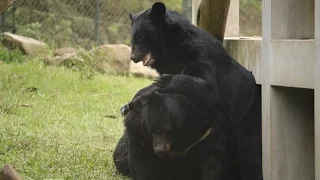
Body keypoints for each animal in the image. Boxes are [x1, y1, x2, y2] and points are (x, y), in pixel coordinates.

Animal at [114, 1, 262, 180]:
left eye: (140, 38)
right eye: (133, 40)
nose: (133, 58)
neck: (171, 49)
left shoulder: (198, 53)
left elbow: (208, 87)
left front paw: (163, 81)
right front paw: (128, 105)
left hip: (245, 118)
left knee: (249, 150)